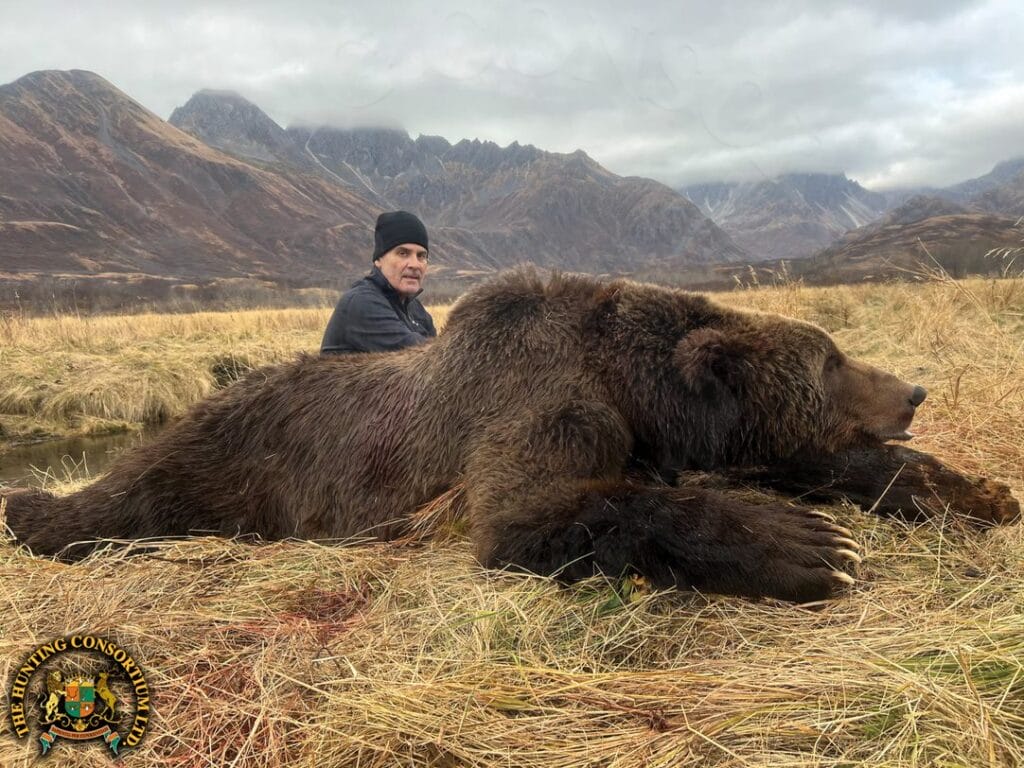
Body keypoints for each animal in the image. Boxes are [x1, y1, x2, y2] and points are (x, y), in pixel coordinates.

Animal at [2, 270, 1019, 603]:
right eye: (831, 358)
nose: (915, 389)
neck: (633, 384)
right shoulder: (543, 403)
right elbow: (529, 515)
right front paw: (805, 545)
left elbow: (828, 466)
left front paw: (976, 489)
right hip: (228, 453)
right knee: (131, 494)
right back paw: (34, 508)